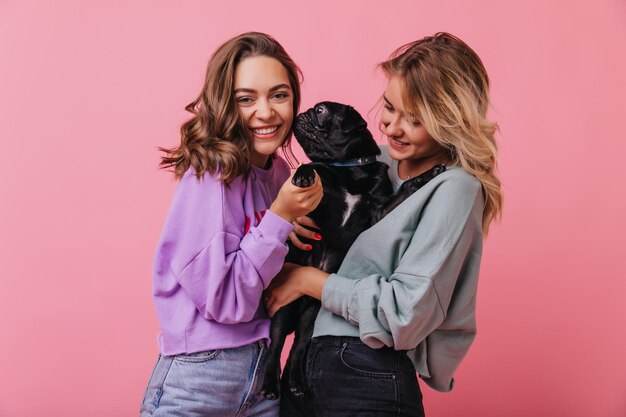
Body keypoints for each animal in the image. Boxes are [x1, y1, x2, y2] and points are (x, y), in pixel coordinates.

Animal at [258, 101, 444, 400]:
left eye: (321, 110)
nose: (303, 112)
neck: (347, 169)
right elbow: (311, 167)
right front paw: (304, 174)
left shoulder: (380, 210)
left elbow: (408, 185)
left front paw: (431, 172)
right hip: (284, 308)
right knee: (275, 346)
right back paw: (269, 386)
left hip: (312, 313)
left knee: (299, 344)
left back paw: (296, 382)